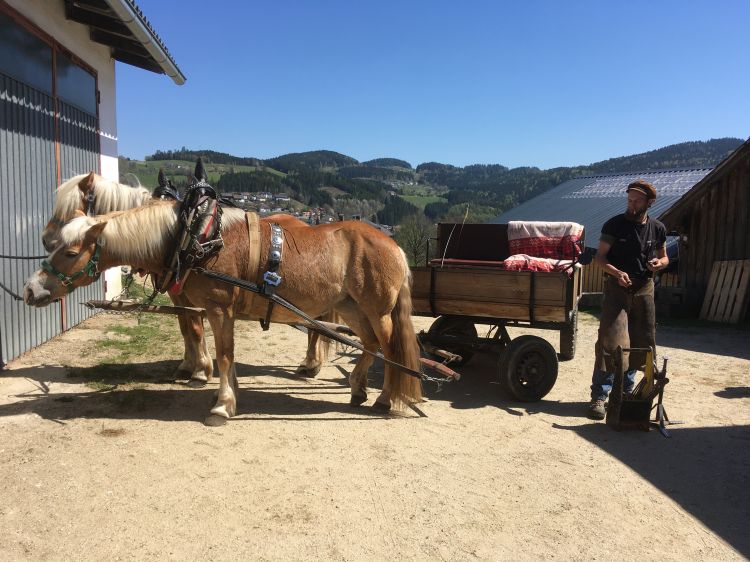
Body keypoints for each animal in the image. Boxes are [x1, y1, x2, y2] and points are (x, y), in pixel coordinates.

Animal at [23, 199, 424, 422]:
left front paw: (222, 403)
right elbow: (217, 350)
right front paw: (226, 391)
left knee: (389, 349)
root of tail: (393, 245)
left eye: (70, 252)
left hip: (377, 310)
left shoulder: (219, 308)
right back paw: (357, 388)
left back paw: (386, 398)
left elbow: (224, 353)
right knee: (370, 345)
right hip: (352, 308)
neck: (198, 237)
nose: (30, 289)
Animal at [40, 168, 334, 382]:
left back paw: (311, 364)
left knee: (315, 326)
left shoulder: (187, 293)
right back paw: (311, 363)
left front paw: (200, 369)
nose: (46, 239)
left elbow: (192, 326)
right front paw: (191, 365)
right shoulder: (182, 294)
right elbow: (186, 326)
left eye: (69, 210)